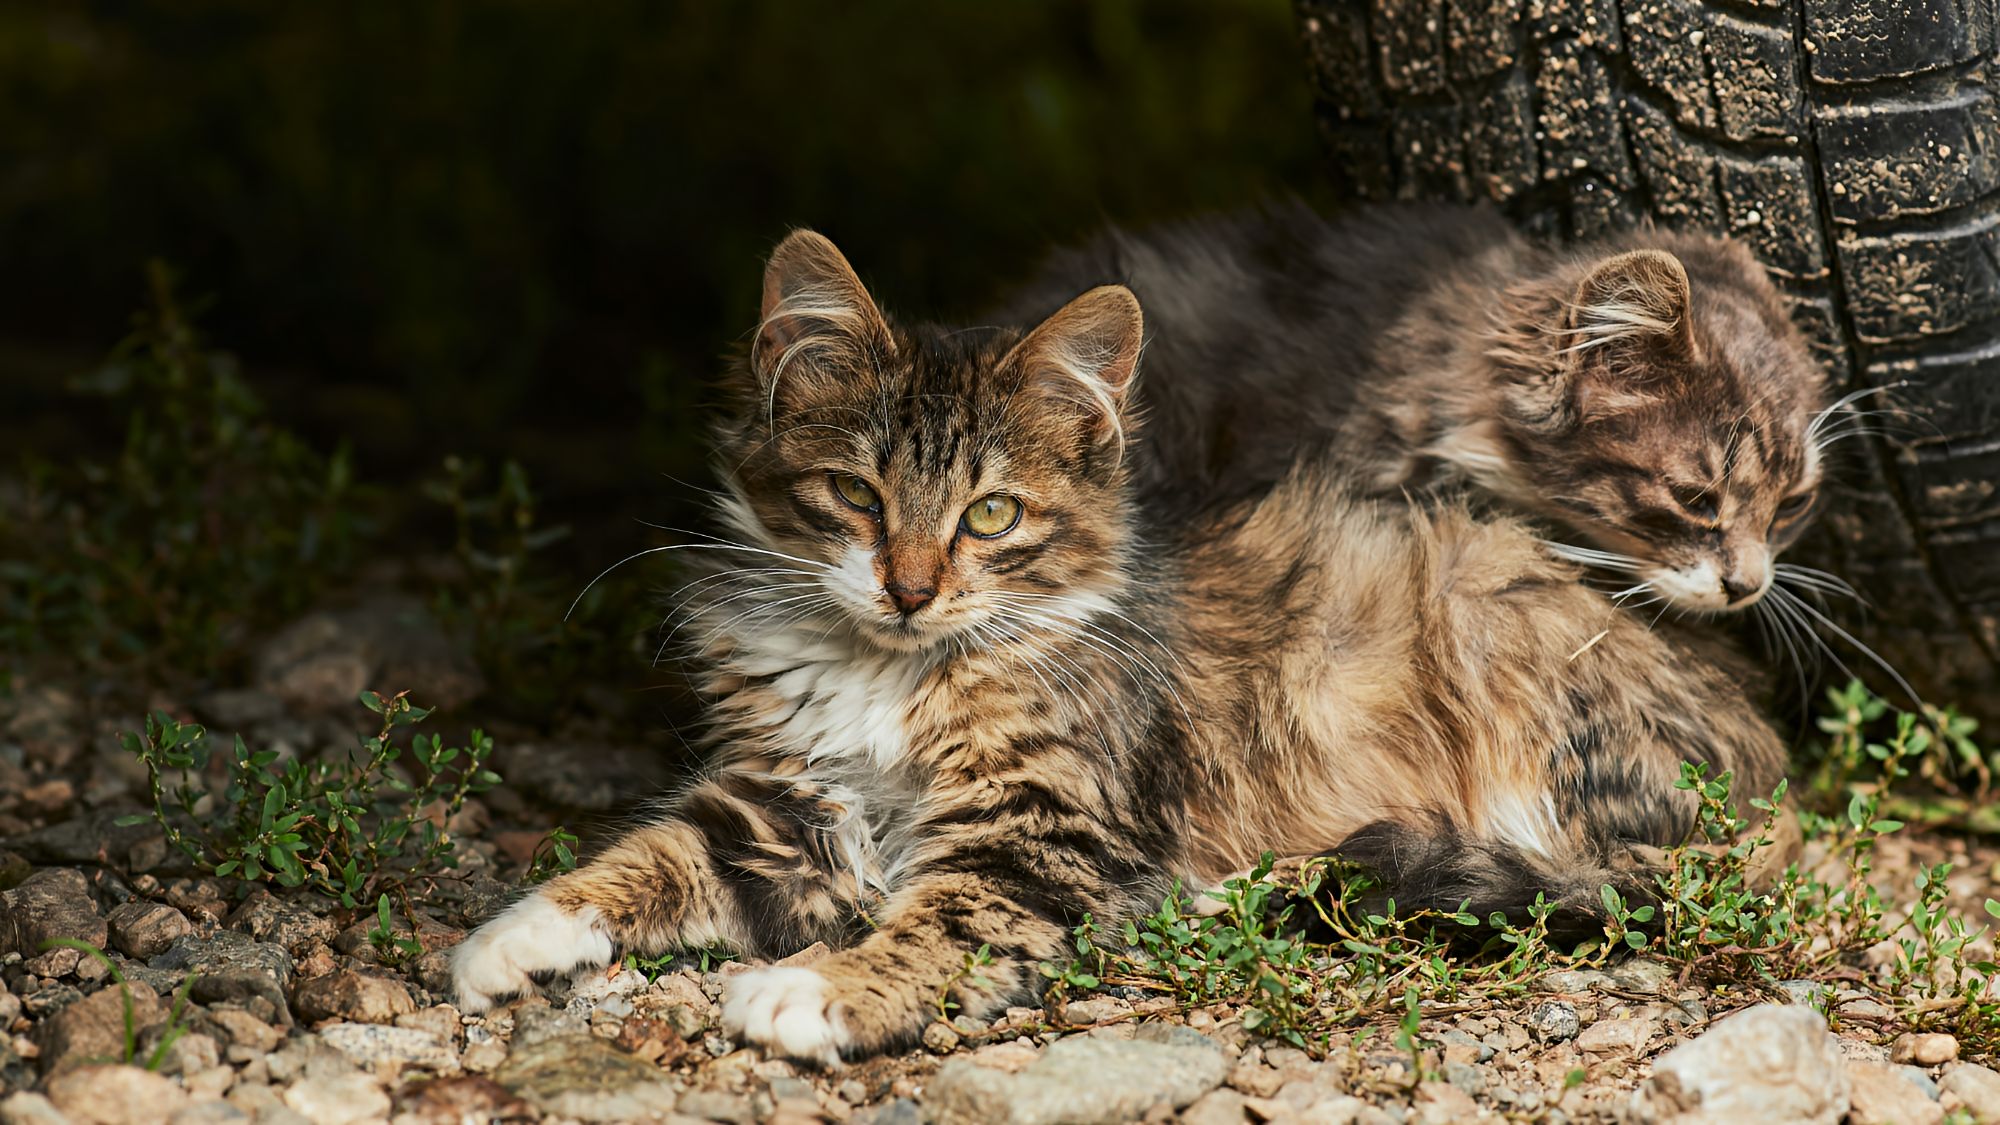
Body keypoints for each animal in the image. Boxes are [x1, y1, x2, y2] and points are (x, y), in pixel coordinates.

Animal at [450, 230, 1784, 1056]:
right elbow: (647, 854)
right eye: (855, 497)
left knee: (1596, 870)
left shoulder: (1038, 833)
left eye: (991, 516)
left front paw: (817, 992)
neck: (894, 673)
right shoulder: (787, 800)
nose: (909, 590)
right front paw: (510, 939)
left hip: (1500, 652)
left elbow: (937, 924)